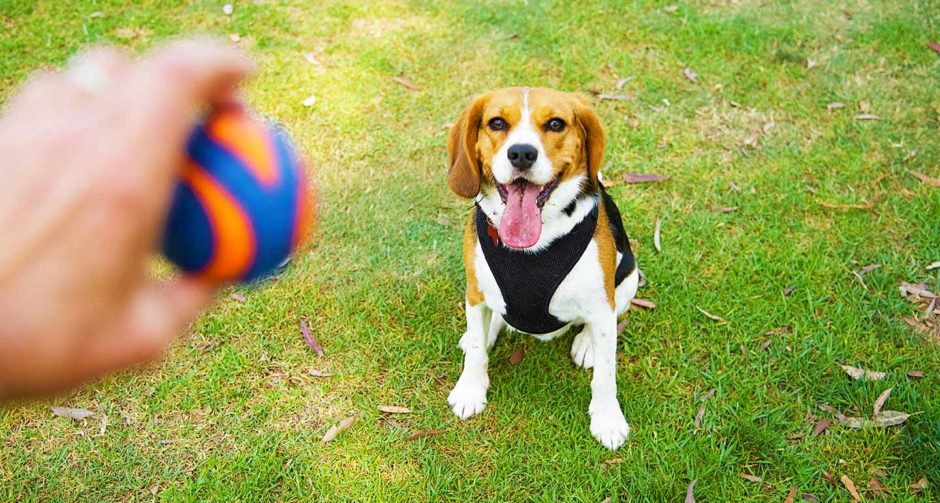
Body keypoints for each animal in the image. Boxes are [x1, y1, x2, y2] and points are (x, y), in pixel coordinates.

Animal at [446, 87, 640, 452]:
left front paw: (607, 419)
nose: (522, 153)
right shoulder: (475, 292)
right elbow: (477, 351)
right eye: (497, 123)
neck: (535, 244)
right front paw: (470, 390)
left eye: (555, 124)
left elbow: (606, 375)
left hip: (629, 279)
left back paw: (586, 344)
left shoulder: (602, 303)